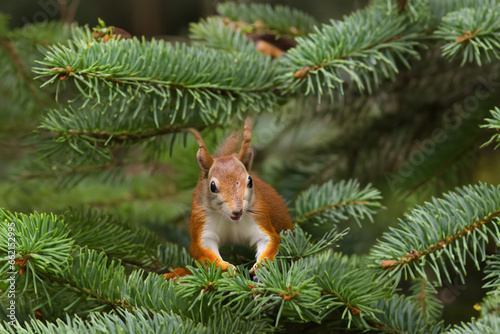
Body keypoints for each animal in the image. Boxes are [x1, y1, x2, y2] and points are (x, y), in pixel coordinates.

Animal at [166, 118, 292, 280]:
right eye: (212, 186)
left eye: (250, 181)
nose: (237, 211)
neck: (231, 220)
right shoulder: (203, 223)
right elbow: (203, 248)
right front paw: (225, 267)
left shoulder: (259, 217)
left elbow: (269, 239)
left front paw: (261, 267)